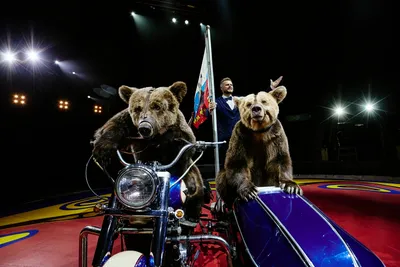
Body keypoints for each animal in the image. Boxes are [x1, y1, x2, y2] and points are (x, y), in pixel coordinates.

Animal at [92, 81, 205, 226]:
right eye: (137, 108)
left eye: (157, 106)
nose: (145, 127)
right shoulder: (130, 125)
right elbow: (112, 125)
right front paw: (103, 150)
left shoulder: (181, 133)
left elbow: (185, 145)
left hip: (189, 171)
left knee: (195, 184)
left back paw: (192, 214)